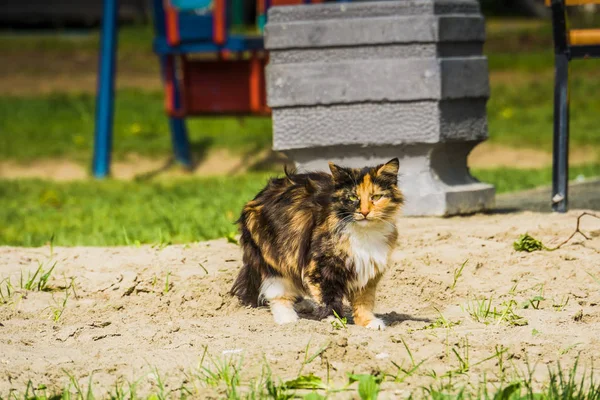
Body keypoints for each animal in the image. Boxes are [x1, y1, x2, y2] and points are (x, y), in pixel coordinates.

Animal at [230, 158, 404, 330]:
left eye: (376, 197)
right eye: (353, 198)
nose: (365, 212)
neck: (365, 233)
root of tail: (259, 195)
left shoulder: (367, 269)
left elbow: (364, 301)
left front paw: (368, 322)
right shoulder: (320, 268)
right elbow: (328, 297)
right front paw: (334, 321)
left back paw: (303, 305)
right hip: (276, 255)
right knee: (278, 293)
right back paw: (288, 318)